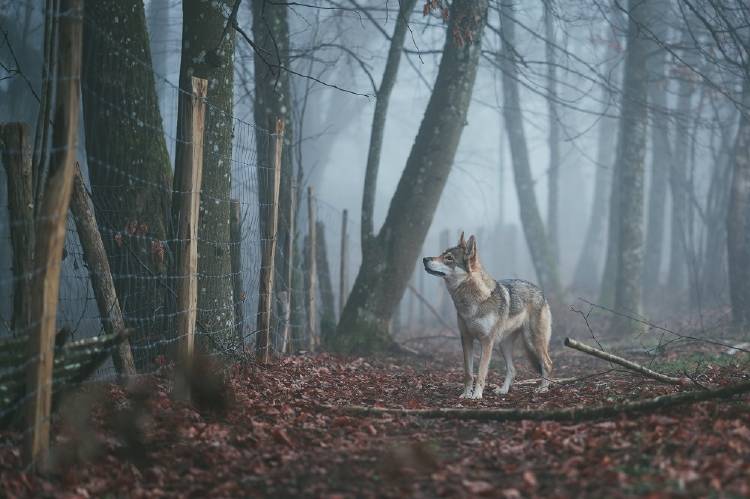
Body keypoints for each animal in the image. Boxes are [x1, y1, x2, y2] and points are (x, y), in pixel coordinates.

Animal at [423, 232, 553, 399]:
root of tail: (540, 291)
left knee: (547, 363)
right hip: (504, 344)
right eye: (441, 254)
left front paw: (476, 395)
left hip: (532, 341)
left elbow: (481, 372)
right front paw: (466, 394)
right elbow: (468, 373)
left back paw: (543, 388)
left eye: (449, 258)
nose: (424, 259)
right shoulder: (466, 339)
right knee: (512, 369)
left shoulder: (486, 341)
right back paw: (503, 390)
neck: (472, 301)